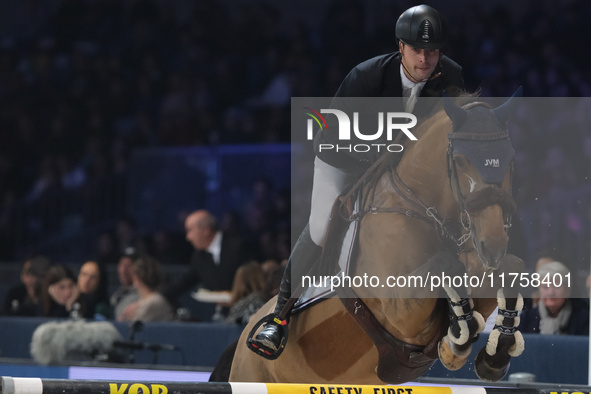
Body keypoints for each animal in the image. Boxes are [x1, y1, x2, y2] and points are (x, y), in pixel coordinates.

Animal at [229, 91, 524, 384]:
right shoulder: (401, 311)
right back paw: (269, 334)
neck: (422, 209)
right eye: (461, 160)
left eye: (511, 159)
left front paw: (493, 355)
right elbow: (447, 266)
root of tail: (241, 340)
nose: (493, 245)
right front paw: (458, 338)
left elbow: (512, 267)